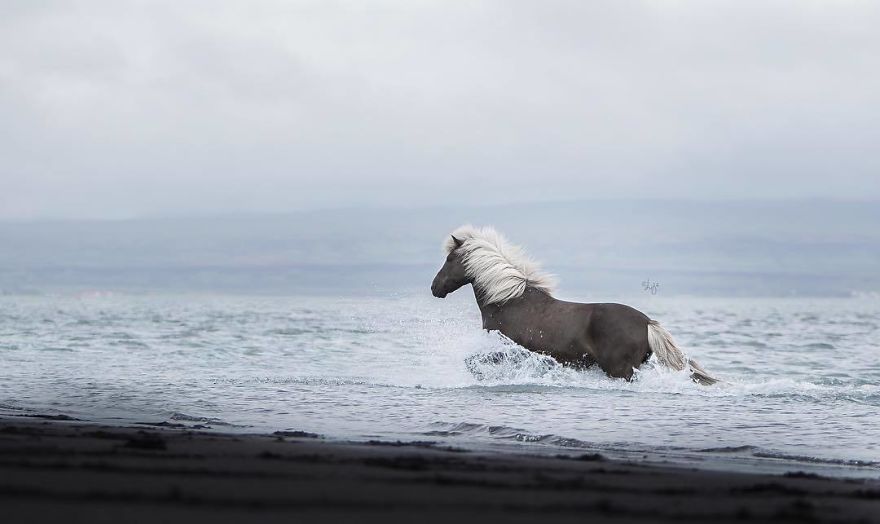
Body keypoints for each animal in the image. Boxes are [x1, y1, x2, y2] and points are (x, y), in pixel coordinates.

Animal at [430, 225, 717, 385]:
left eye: (449, 259)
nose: (435, 288)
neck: (508, 302)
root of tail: (647, 322)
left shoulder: (507, 348)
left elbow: (474, 362)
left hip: (619, 370)